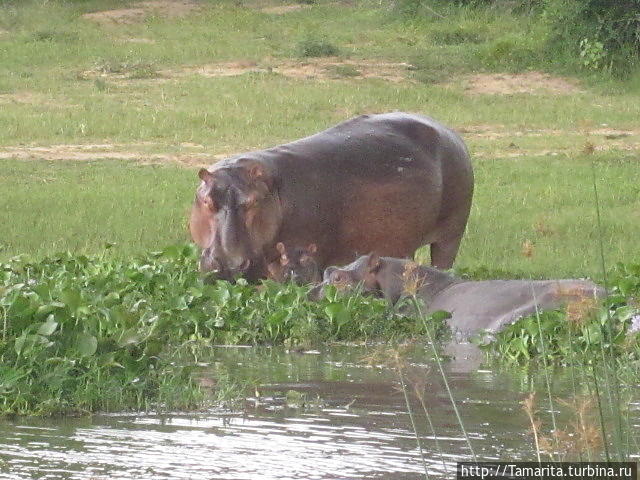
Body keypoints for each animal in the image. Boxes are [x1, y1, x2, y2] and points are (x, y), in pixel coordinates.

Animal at [188, 112, 472, 282]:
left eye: (253, 202)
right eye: (206, 201)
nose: (229, 264)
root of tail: (450, 132)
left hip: (451, 234)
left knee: (444, 260)